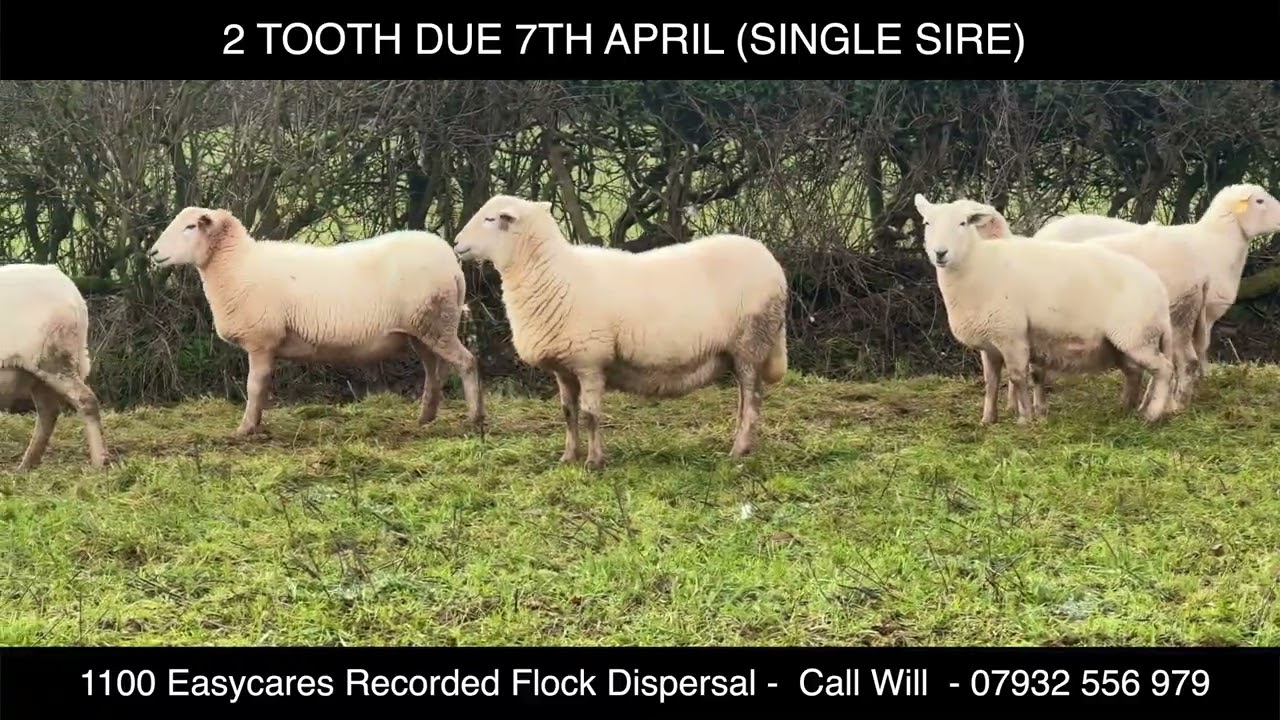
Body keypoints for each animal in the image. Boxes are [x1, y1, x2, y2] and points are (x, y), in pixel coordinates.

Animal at [0, 263, 109, 470]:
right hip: (36, 372)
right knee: (48, 412)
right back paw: (26, 466)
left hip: (55, 358)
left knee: (86, 401)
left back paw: (99, 463)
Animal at [147, 207, 485, 437]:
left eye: (190, 226)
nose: (153, 252)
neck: (235, 265)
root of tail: (453, 264)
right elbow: (261, 387)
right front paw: (256, 424)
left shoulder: (262, 340)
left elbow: (254, 386)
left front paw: (246, 428)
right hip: (423, 328)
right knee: (434, 371)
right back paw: (425, 417)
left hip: (436, 322)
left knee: (466, 362)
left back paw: (475, 417)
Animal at [451, 194, 789, 470]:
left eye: (490, 219)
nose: (455, 243)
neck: (553, 274)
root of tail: (773, 264)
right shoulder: (564, 367)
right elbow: (568, 412)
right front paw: (568, 457)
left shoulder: (589, 361)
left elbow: (590, 415)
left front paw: (594, 462)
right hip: (739, 349)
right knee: (745, 400)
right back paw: (742, 444)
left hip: (750, 341)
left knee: (753, 398)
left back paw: (739, 450)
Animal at [913, 193, 1177, 425]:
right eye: (927, 223)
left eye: (963, 223)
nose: (940, 253)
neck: (977, 265)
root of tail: (1159, 290)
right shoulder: (990, 344)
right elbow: (991, 382)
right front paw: (987, 420)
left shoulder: (1012, 336)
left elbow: (1018, 377)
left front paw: (1025, 419)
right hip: (1123, 343)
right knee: (1135, 373)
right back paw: (1125, 409)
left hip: (1135, 336)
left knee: (1164, 369)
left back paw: (1151, 414)